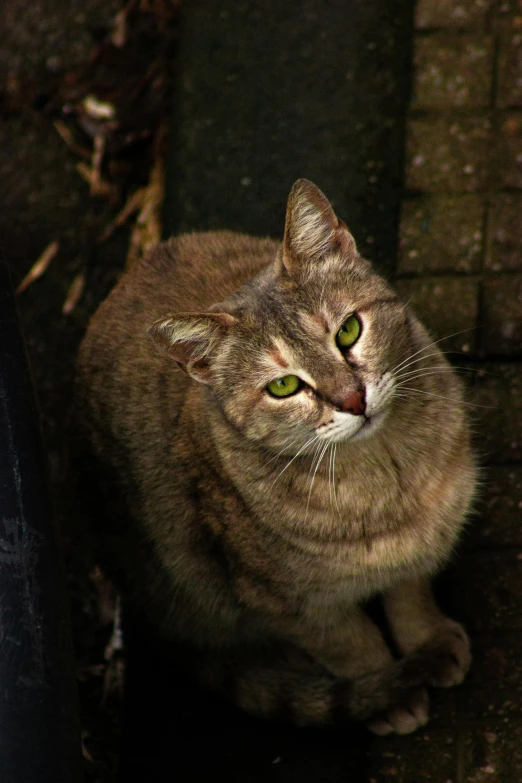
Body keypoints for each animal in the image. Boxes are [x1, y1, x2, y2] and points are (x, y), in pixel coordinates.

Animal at [73, 178, 476, 736]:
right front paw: (388, 693)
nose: (353, 400)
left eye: (348, 331)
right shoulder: (292, 606)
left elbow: (409, 596)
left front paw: (427, 641)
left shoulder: (421, 545)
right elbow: (354, 647)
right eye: (284, 386)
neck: (385, 475)